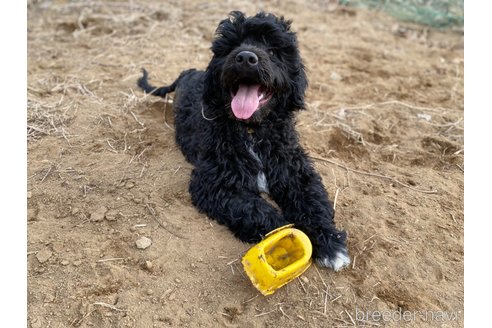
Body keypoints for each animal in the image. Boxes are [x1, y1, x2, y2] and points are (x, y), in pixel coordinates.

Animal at [139, 10, 350, 272]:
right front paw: (286, 236)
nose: (246, 57)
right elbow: (257, 210)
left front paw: (330, 242)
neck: (251, 132)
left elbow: (312, 199)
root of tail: (188, 72)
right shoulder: (216, 183)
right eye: (233, 45)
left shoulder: (295, 171)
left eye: (273, 50)